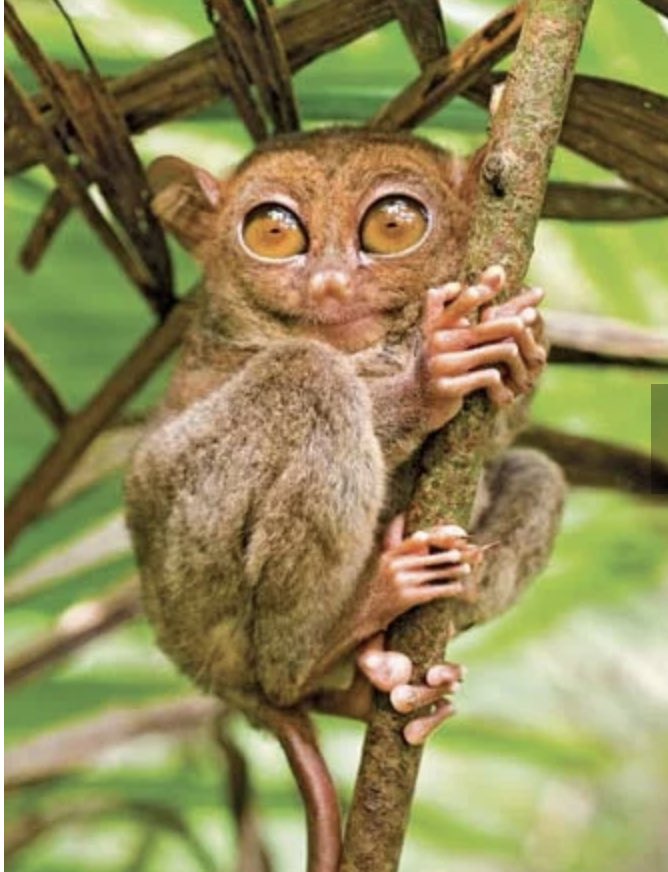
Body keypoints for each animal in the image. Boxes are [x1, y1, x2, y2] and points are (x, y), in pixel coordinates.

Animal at [124, 128, 565, 872]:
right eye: (273, 233)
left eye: (393, 225)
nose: (329, 281)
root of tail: (213, 680)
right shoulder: (218, 359)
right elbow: (341, 376)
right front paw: (428, 373)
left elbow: (508, 431)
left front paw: (524, 350)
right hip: (191, 567)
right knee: (309, 375)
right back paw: (347, 623)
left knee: (540, 474)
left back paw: (375, 681)